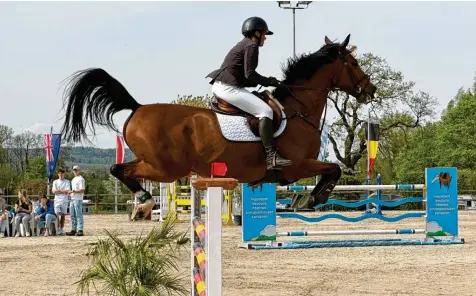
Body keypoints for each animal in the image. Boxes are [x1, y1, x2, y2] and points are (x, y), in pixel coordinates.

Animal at [61, 34, 378, 220]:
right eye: (353, 63)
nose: (370, 90)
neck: (298, 109)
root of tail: (137, 107)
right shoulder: (297, 166)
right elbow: (333, 170)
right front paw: (313, 198)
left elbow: (331, 171)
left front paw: (308, 199)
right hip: (165, 168)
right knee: (120, 169)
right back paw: (144, 203)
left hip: (158, 164)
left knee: (120, 169)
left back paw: (142, 204)